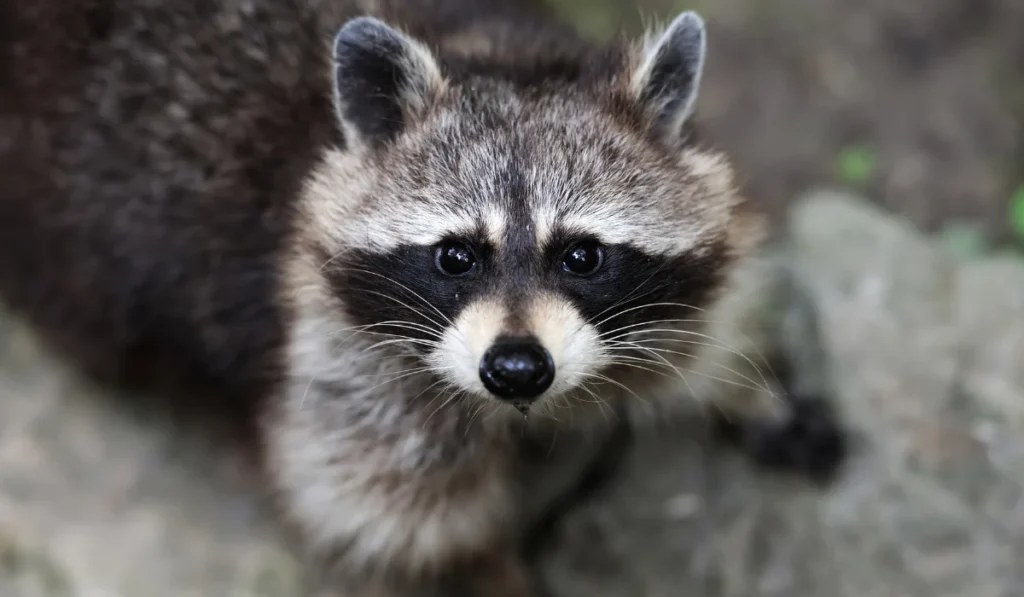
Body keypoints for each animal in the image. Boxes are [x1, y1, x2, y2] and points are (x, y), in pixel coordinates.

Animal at [0, 0, 848, 594]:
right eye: (455, 256)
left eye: (582, 255)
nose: (516, 369)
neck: (499, 58)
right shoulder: (331, 358)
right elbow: (404, 521)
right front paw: (491, 571)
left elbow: (705, 318)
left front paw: (749, 388)